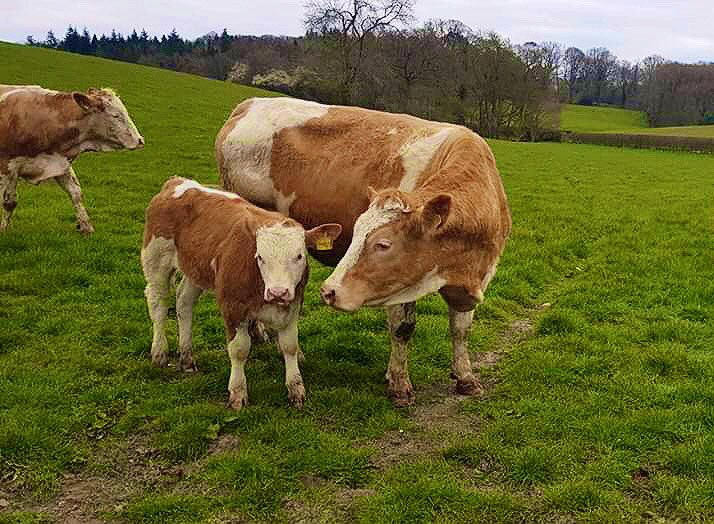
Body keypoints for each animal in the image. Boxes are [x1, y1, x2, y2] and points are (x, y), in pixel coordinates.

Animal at [0, 85, 144, 234]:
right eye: (116, 115)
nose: (140, 140)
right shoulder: (7, 167)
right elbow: (9, 202)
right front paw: (4, 229)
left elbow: (76, 193)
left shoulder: (60, 162)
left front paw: (86, 227)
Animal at [141, 177, 342, 410]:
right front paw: (237, 393)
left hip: (195, 267)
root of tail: (177, 181)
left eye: (300, 256)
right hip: (156, 260)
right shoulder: (231, 306)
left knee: (184, 303)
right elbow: (239, 349)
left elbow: (290, 346)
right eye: (260, 257)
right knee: (158, 304)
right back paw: (159, 352)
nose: (278, 292)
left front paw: (296, 390)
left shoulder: (293, 304)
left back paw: (187, 358)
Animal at [216, 97, 511, 406]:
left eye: (383, 244)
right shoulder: (397, 284)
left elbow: (461, 328)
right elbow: (403, 329)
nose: (329, 291)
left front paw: (465, 377)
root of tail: (250, 103)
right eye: (357, 234)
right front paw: (399, 384)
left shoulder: (477, 276)